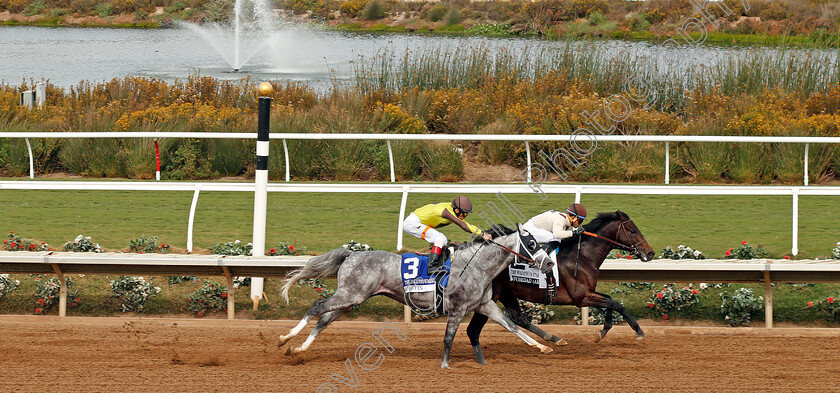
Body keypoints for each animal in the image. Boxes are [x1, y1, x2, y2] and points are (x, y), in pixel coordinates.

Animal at [278, 224, 556, 368]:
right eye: (532, 244)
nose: (550, 264)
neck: (476, 266)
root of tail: (352, 254)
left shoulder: (485, 304)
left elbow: (511, 326)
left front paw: (542, 347)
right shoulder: (457, 309)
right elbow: (448, 337)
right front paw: (445, 365)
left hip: (351, 299)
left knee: (324, 320)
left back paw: (298, 348)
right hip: (350, 294)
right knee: (317, 307)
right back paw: (284, 339)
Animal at [466, 213, 656, 362]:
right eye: (632, 230)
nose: (650, 253)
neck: (583, 255)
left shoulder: (588, 292)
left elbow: (610, 300)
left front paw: (602, 331)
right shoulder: (581, 298)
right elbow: (616, 304)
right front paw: (638, 331)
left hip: (507, 293)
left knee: (518, 318)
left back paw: (554, 339)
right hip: (491, 297)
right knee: (474, 330)